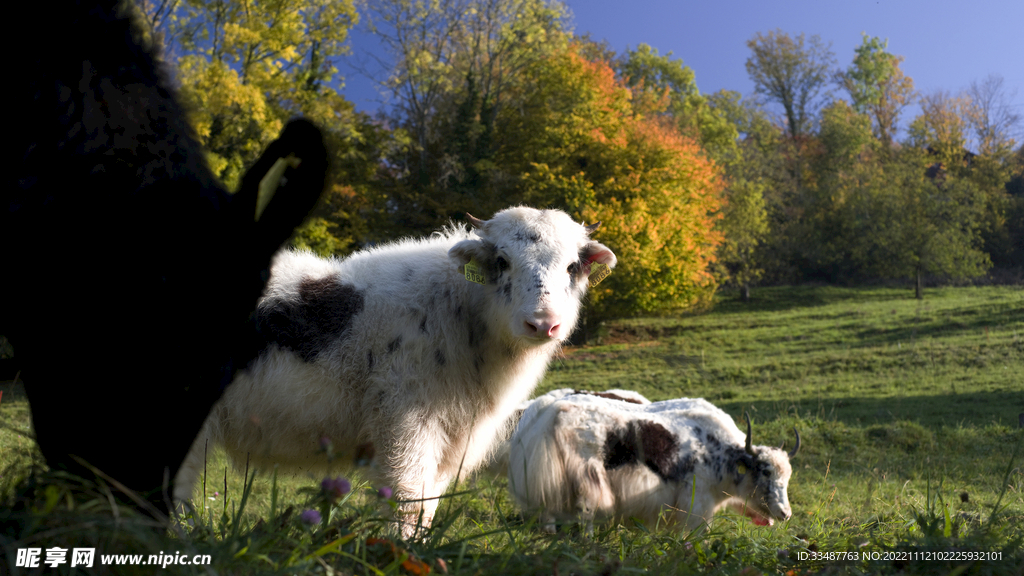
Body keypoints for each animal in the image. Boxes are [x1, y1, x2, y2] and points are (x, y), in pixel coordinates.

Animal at [507, 391, 802, 532]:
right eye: (764, 472)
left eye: (786, 479)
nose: (785, 514)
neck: (721, 453)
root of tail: (549, 411)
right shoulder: (697, 502)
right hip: (584, 476)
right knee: (585, 512)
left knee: (547, 507)